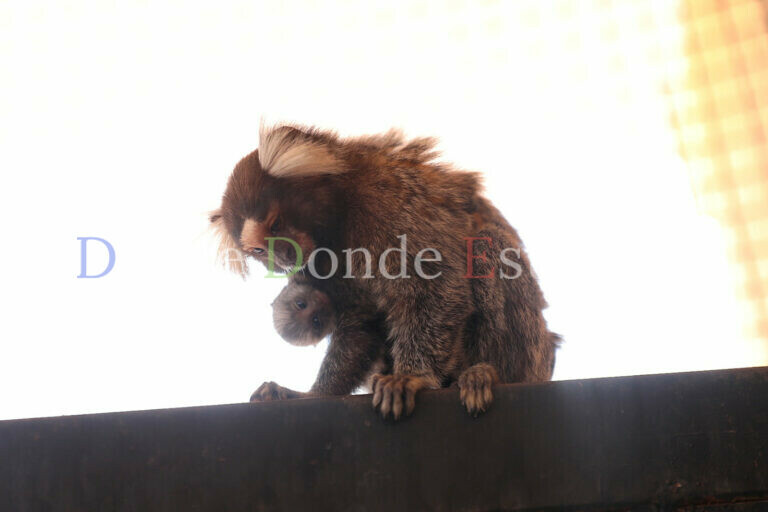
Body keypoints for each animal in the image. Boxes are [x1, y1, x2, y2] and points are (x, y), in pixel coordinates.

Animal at [211, 124, 559, 419]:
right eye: (259, 250)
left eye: (276, 225)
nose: (282, 257)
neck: (338, 220)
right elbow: (359, 324)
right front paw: (313, 394)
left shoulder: (389, 202)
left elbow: (436, 286)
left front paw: (410, 377)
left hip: (533, 356)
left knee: (486, 245)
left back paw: (486, 373)